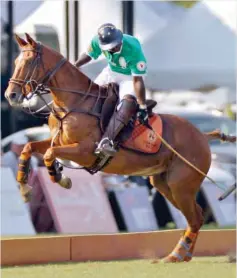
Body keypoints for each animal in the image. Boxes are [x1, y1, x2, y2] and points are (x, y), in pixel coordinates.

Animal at [5, 34, 235, 262]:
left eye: (28, 63)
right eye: (15, 61)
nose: (10, 95)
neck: (73, 102)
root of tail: (202, 136)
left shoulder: (85, 151)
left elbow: (50, 154)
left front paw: (61, 178)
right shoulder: (58, 141)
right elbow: (29, 147)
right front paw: (25, 189)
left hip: (181, 184)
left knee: (195, 217)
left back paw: (175, 255)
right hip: (163, 183)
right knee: (195, 215)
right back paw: (183, 254)